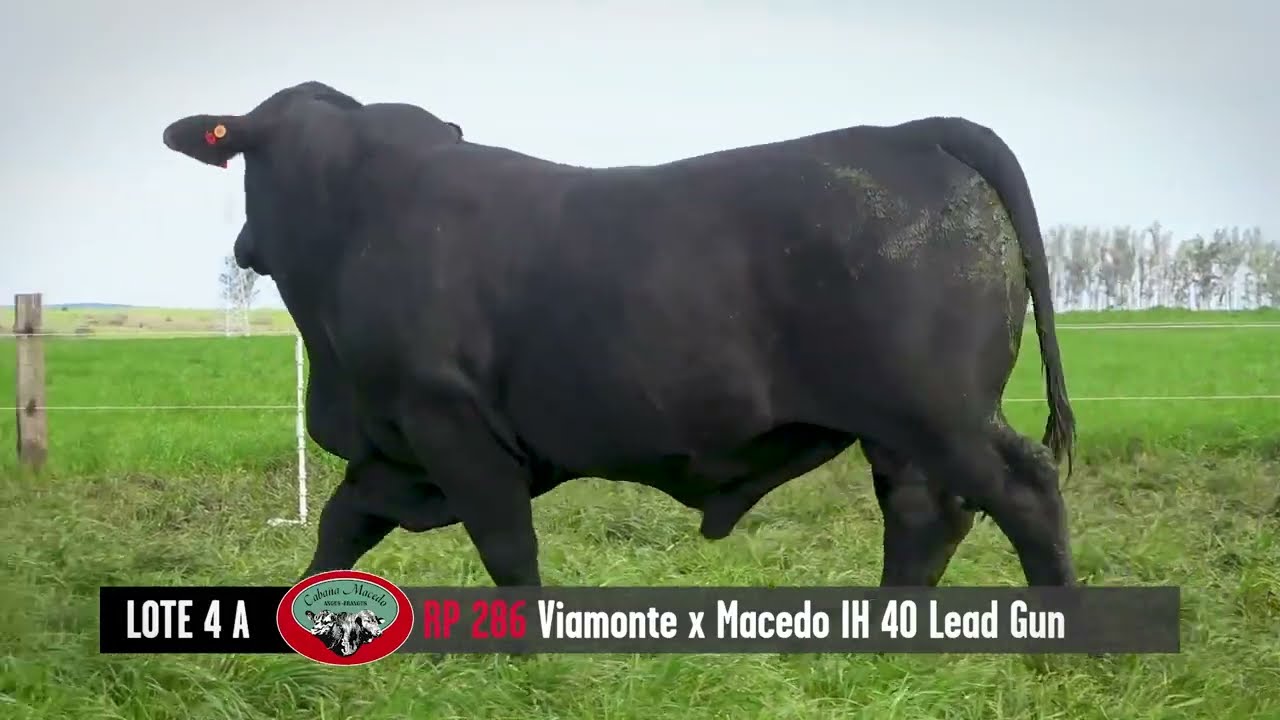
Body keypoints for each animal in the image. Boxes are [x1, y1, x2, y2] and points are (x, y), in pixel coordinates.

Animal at [162, 81, 1076, 588]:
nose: (243, 246)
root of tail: (911, 130)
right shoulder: (395, 447)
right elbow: (339, 530)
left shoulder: (450, 423)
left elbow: (509, 553)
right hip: (899, 430)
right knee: (924, 518)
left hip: (940, 410)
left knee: (1024, 492)